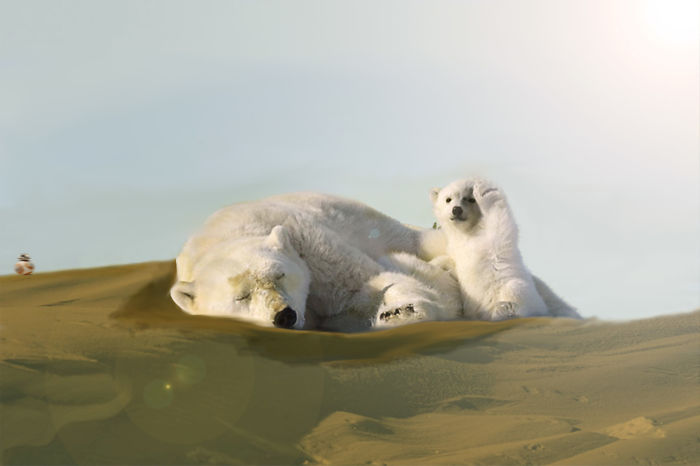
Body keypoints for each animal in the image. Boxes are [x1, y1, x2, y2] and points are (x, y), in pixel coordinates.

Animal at [171, 192, 463, 331]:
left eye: (280, 274)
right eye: (241, 297)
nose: (284, 315)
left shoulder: (309, 244)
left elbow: (365, 283)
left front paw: (402, 311)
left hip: (375, 224)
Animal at [430, 178, 579, 321]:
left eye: (470, 199)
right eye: (448, 199)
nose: (456, 209)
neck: (469, 233)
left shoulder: (493, 242)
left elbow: (499, 222)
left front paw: (484, 190)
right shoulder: (456, 249)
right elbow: (452, 262)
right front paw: (435, 264)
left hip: (521, 291)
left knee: (516, 290)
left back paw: (504, 310)